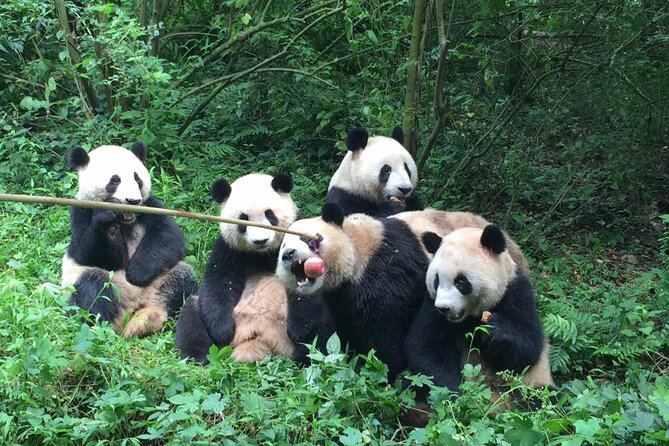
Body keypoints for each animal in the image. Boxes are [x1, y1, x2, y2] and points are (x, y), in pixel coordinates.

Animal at [61, 142, 196, 337]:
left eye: (137, 178)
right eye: (114, 180)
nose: (133, 200)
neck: (125, 220)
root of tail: (131, 310)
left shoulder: (150, 206)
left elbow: (167, 237)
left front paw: (136, 273)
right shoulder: (81, 210)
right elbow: (88, 252)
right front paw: (107, 221)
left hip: (159, 283)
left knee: (182, 279)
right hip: (85, 285)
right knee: (93, 285)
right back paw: (102, 325)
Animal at [175, 173, 331, 364]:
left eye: (270, 215)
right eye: (243, 219)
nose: (261, 240)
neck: (263, 253)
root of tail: (258, 340)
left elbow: (306, 283)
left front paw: (298, 329)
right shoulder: (228, 248)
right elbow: (219, 281)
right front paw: (223, 330)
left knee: (325, 329)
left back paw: (307, 357)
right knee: (192, 314)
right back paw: (195, 357)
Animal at [404, 224, 554, 402]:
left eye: (460, 281)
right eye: (436, 281)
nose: (443, 308)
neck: (472, 316)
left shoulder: (516, 291)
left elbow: (528, 347)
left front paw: (495, 329)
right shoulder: (430, 304)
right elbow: (425, 346)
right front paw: (455, 393)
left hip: (529, 385)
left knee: (544, 396)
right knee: (412, 384)